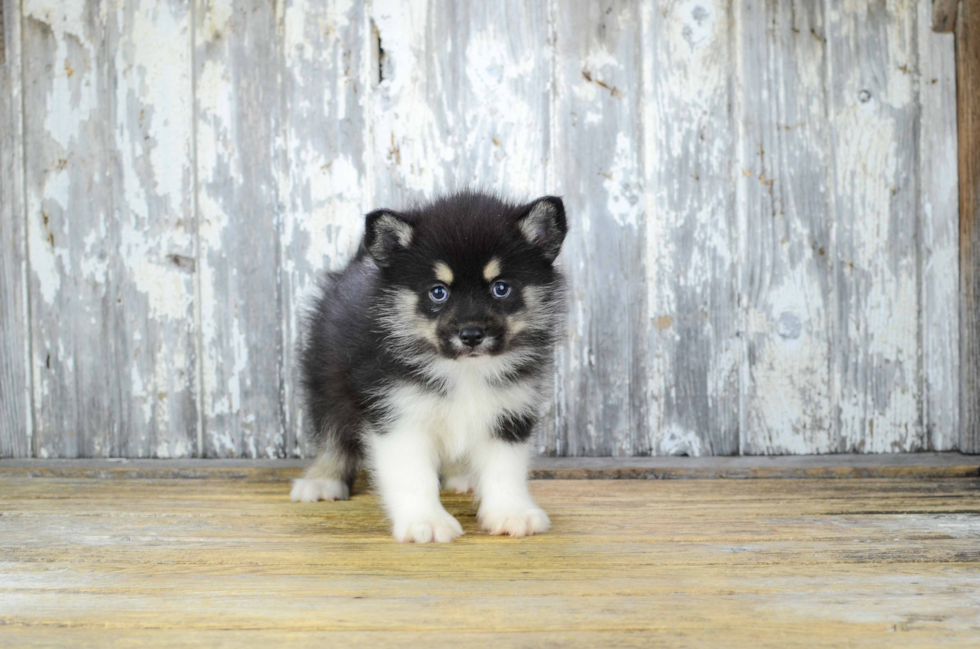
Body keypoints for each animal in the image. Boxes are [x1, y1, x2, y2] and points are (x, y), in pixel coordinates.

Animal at [290, 191, 568, 540]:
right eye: (438, 292)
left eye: (501, 288)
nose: (471, 335)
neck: (463, 370)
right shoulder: (398, 412)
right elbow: (412, 475)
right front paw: (426, 522)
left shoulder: (509, 410)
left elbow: (506, 469)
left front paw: (512, 513)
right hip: (326, 381)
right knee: (332, 434)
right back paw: (321, 480)